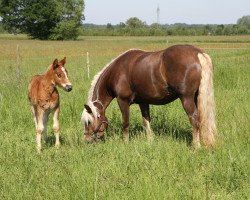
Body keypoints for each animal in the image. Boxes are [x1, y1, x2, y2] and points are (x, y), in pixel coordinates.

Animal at [82, 45, 217, 148]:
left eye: (89, 121)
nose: (87, 140)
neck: (117, 72)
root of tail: (198, 53)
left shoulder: (123, 101)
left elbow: (125, 123)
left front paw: (125, 142)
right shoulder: (144, 102)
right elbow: (146, 122)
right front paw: (150, 141)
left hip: (186, 98)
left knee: (194, 118)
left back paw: (196, 146)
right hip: (195, 97)